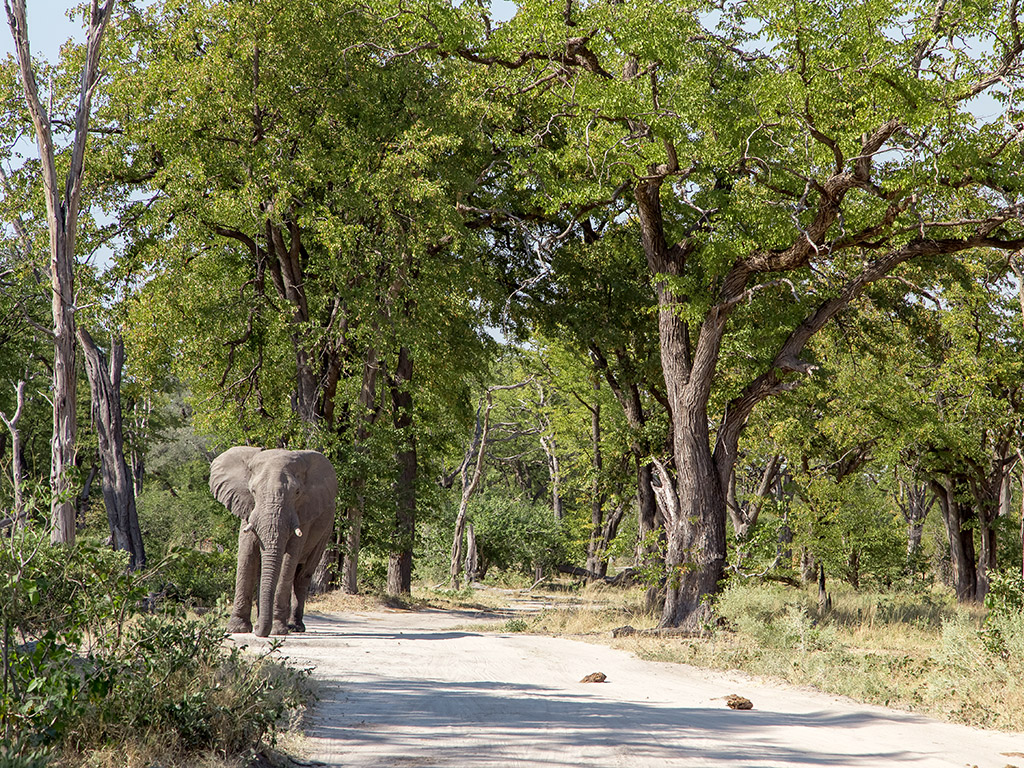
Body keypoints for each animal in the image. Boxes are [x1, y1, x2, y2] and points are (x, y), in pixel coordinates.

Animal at [209, 446, 337, 637]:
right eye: (253, 491)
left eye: (297, 493)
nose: (259, 631)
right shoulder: (248, 508)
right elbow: (247, 554)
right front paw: (237, 629)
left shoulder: (304, 514)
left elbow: (288, 561)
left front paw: (277, 630)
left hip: (326, 529)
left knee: (303, 575)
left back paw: (294, 627)